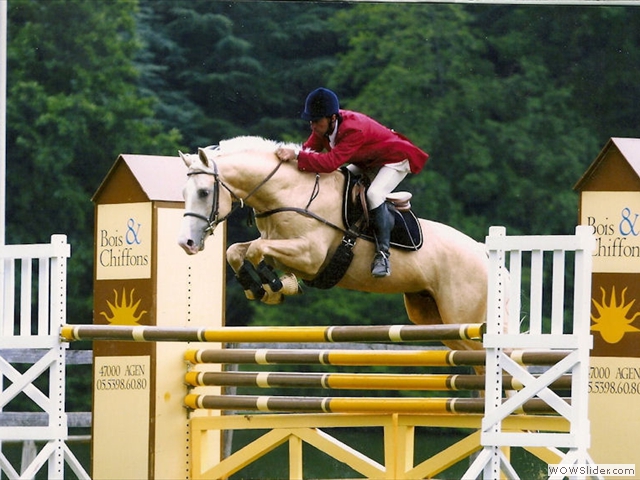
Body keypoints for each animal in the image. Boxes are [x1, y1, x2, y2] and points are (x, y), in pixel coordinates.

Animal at [178, 135, 488, 352]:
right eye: (184, 193)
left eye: (204, 192)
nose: (186, 243)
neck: (290, 193)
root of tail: (483, 253)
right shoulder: (278, 243)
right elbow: (237, 251)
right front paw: (263, 287)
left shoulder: (310, 256)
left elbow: (257, 252)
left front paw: (277, 285)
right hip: (431, 316)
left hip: (462, 316)